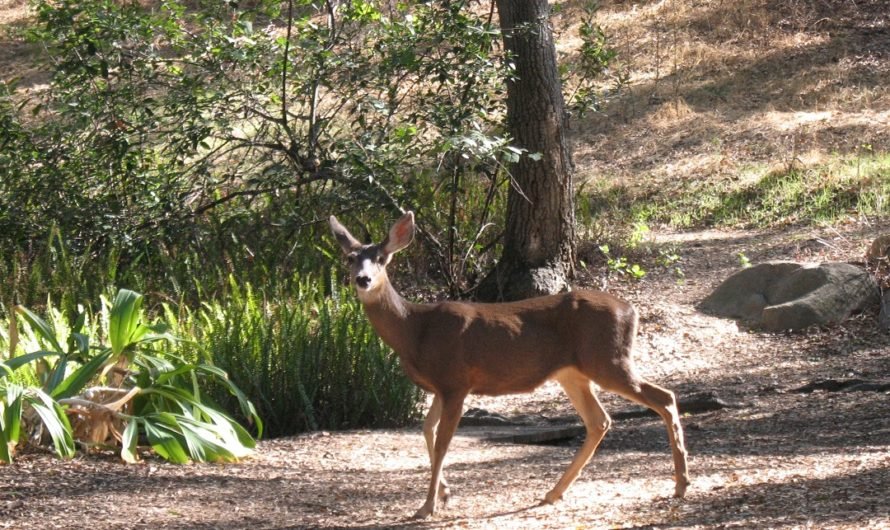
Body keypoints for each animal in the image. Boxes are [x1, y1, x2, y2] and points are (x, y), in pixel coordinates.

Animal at [329, 211, 689, 519]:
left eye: (381, 258)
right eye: (350, 258)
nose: (362, 279)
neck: (414, 330)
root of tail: (632, 311)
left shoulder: (456, 381)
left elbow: (443, 441)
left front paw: (427, 506)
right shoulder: (440, 387)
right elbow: (427, 430)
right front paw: (444, 494)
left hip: (608, 359)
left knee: (664, 397)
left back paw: (681, 483)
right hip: (573, 373)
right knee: (600, 420)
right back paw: (553, 493)